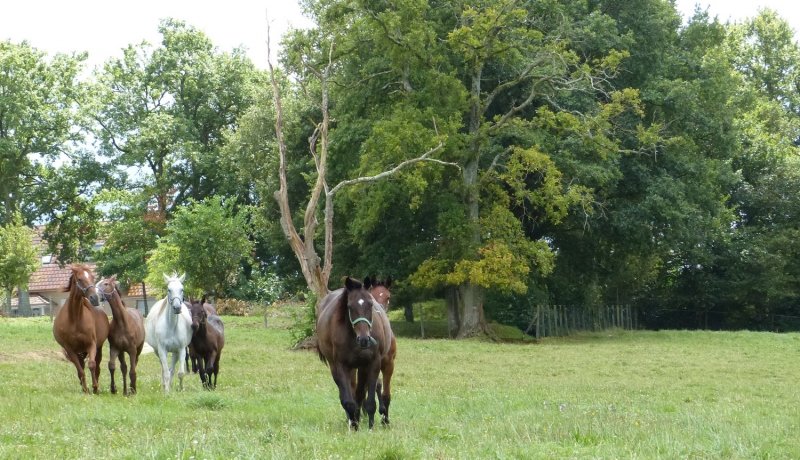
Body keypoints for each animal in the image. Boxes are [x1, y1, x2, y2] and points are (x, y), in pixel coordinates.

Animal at [52, 264, 109, 394]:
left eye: (92, 277)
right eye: (79, 279)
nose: (94, 298)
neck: (75, 320)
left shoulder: (91, 344)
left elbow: (92, 365)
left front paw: (95, 387)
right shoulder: (70, 349)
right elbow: (80, 370)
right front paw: (86, 389)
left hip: (98, 348)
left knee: (97, 366)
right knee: (81, 366)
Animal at [316, 276, 396, 430]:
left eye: (370, 304)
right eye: (349, 306)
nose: (364, 339)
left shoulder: (374, 363)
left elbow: (371, 398)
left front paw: (371, 426)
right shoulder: (341, 365)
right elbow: (348, 400)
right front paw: (354, 425)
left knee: (368, 393)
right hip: (342, 368)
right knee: (351, 393)